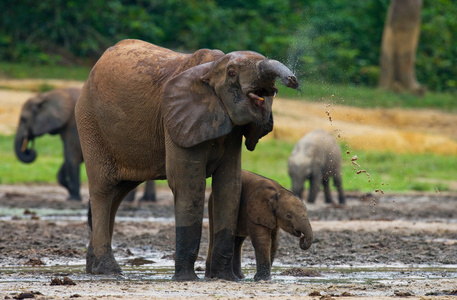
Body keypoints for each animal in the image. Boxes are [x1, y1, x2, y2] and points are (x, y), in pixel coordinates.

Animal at [14, 87, 157, 202]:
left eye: (23, 119)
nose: (29, 150)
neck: (48, 95)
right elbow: (68, 161)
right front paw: (71, 192)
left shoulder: (72, 125)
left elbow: (71, 158)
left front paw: (73, 198)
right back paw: (146, 200)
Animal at [75, 39, 300, 282]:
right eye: (232, 73)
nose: (293, 80)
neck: (211, 69)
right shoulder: (177, 120)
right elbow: (189, 184)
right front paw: (186, 278)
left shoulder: (231, 129)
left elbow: (229, 185)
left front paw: (223, 278)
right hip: (90, 123)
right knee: (104, 190)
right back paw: (108, 270)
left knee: (119, 192)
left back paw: (94, 268)